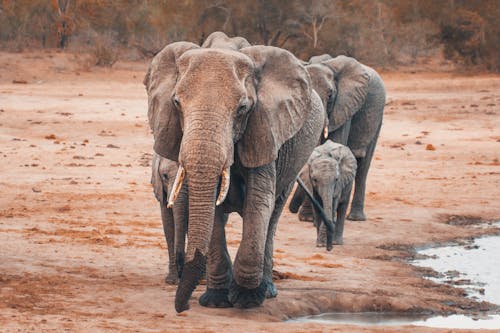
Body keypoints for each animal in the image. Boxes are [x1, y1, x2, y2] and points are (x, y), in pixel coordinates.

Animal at [292, 53, 386, 220]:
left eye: (330, 95)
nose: (293, 209)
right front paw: (308, 217)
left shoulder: (345, 105)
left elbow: (336, 141)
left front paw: (309, 218)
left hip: (378, 117)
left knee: (363, 165)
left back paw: (356, 217)